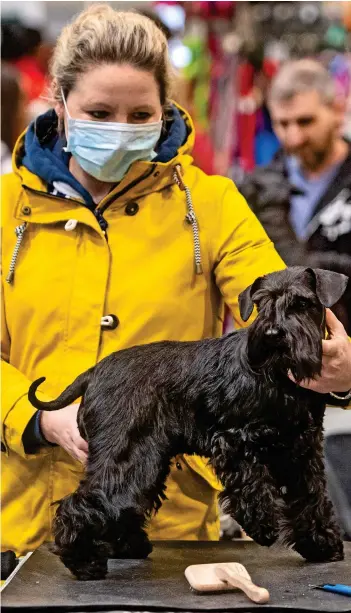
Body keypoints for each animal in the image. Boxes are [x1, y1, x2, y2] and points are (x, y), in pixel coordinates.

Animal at [28, 266, 348, 580]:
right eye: (261, 304)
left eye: (302, 303)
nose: (271, 334)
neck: (280, 377)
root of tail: (93, 372)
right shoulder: (235, 440)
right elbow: (252, 484)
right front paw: (263, 525)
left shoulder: (301, 449)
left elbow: (312, 497)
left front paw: (323, 545)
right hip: (127, 454)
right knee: (84, 502)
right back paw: (85, 562)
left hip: (147, 460)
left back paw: (127, 546)